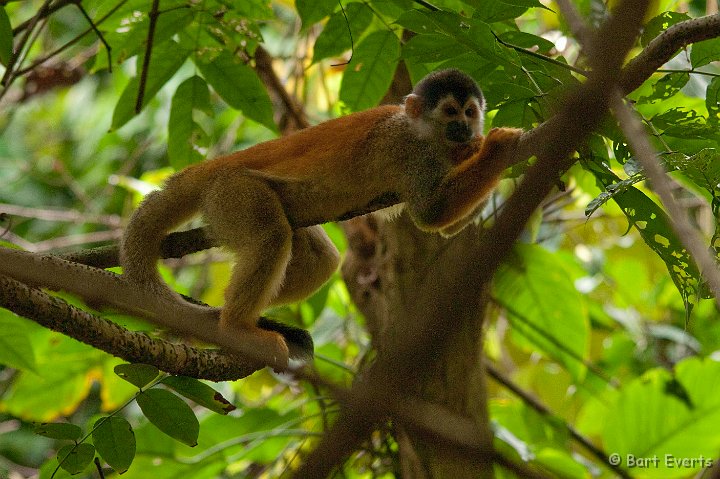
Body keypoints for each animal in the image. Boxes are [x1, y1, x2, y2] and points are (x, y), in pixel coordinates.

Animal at [0, 68, 520, 368]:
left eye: (469, 111)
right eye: (450, 111)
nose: (464, 128)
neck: (428, 136)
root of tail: (215, 166)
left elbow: (443, 224)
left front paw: (484, 150)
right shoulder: (411, 151)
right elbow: (430, 215)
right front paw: (500, 147)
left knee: (316, 256)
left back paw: (228, 322)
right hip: (234, 195)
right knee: (270, 237)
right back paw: (234, 327)